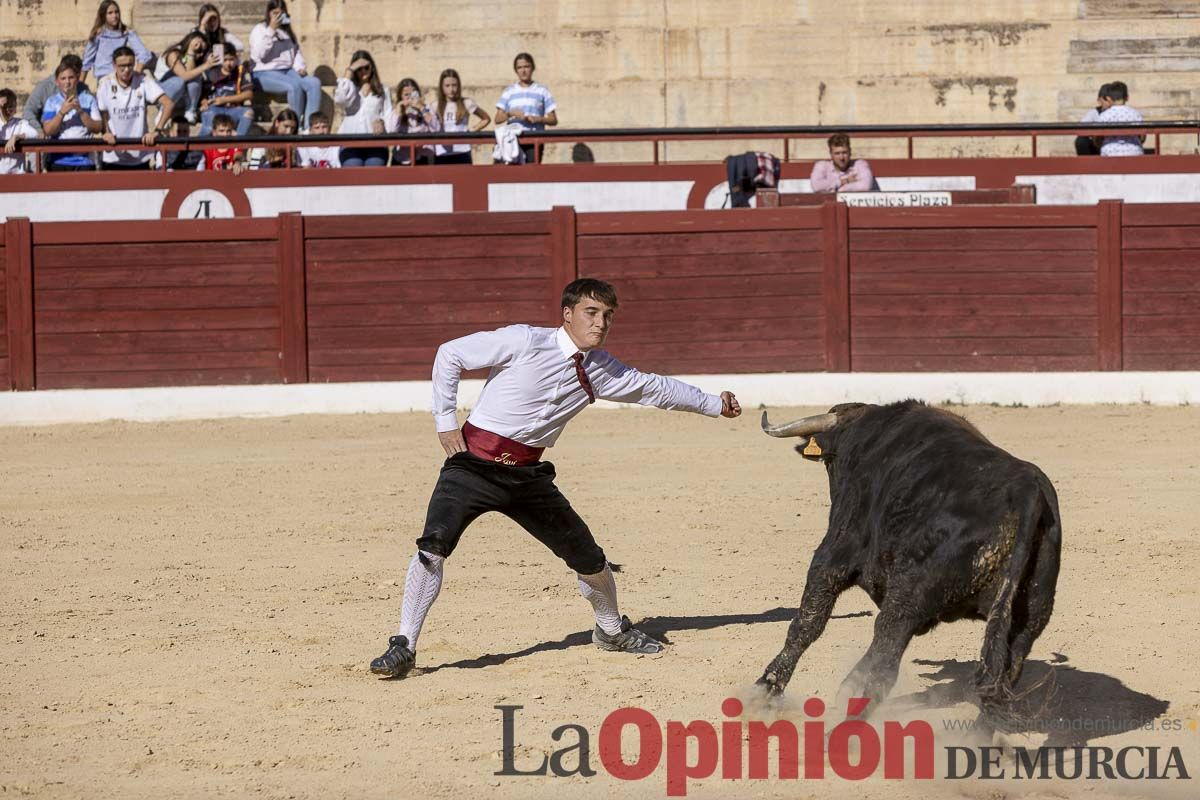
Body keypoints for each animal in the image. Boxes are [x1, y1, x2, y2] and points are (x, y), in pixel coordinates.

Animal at [758, 400, 1060, 724]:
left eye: (830, 463)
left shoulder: (833, 554)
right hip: (1031, 618)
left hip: (907, 599)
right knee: (1006, 672)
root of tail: (1026, 491)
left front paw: (766, 688)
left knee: (885, 656)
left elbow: (806, 624)